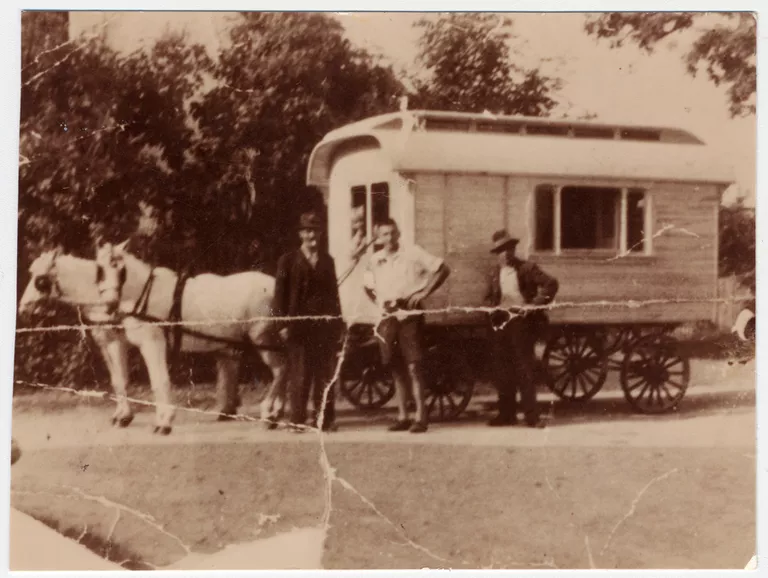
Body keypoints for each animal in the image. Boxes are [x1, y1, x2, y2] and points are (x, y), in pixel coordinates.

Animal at [94, 240, 288, 432]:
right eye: (100, 270)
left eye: (120, 269)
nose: (110, 304)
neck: (146, 294)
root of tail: (273, 283)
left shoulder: (152, 343)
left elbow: (159, 381)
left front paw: (164, 422)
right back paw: (276, 413)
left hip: (262, 338)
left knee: (280, 370)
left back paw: (269, 414)